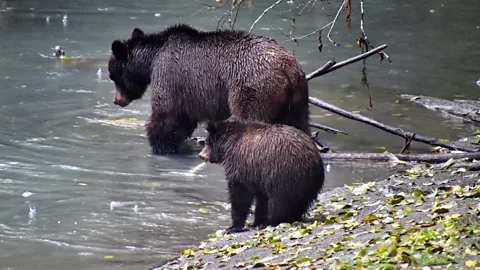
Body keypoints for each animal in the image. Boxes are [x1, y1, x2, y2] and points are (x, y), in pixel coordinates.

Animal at [108, 24, 310, 155]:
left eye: (112, 75)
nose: (116, 100)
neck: (152, 59)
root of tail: (289, 68)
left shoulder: (170, 75)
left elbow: (167, 115)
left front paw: (161, 145)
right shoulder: (189, 93)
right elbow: (183, 120)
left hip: (252, 86)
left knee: (247, 117)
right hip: (297, 98)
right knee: (299, 124)